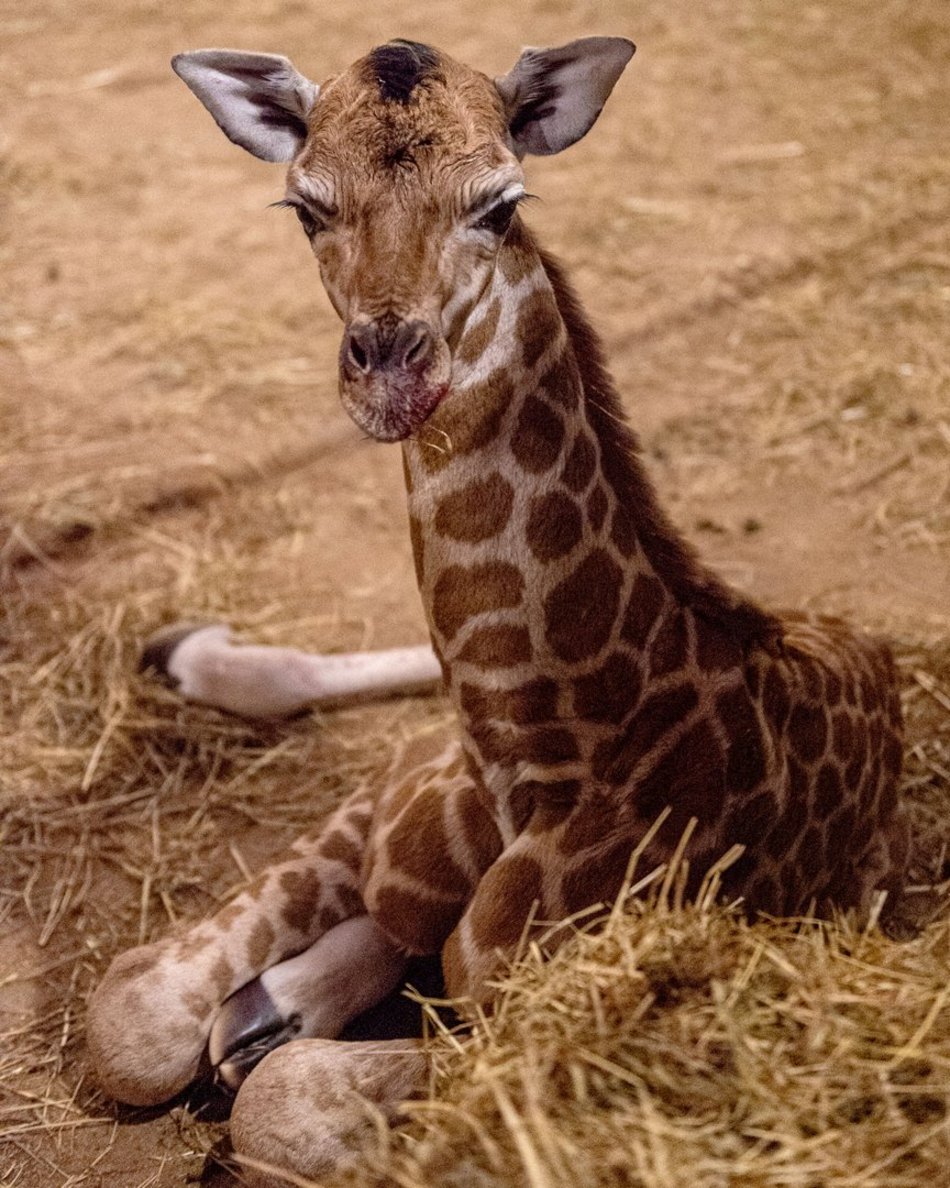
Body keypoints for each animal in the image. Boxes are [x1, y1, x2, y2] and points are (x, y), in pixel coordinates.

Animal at [87, 37, 907, 1188]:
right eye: (304, 205)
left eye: (501, 201)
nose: (392, 372)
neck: (536, 749)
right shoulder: (377, 802)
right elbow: (130, 1021)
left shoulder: (545, 1009)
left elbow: (280, 1106)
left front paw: (265, 1037)